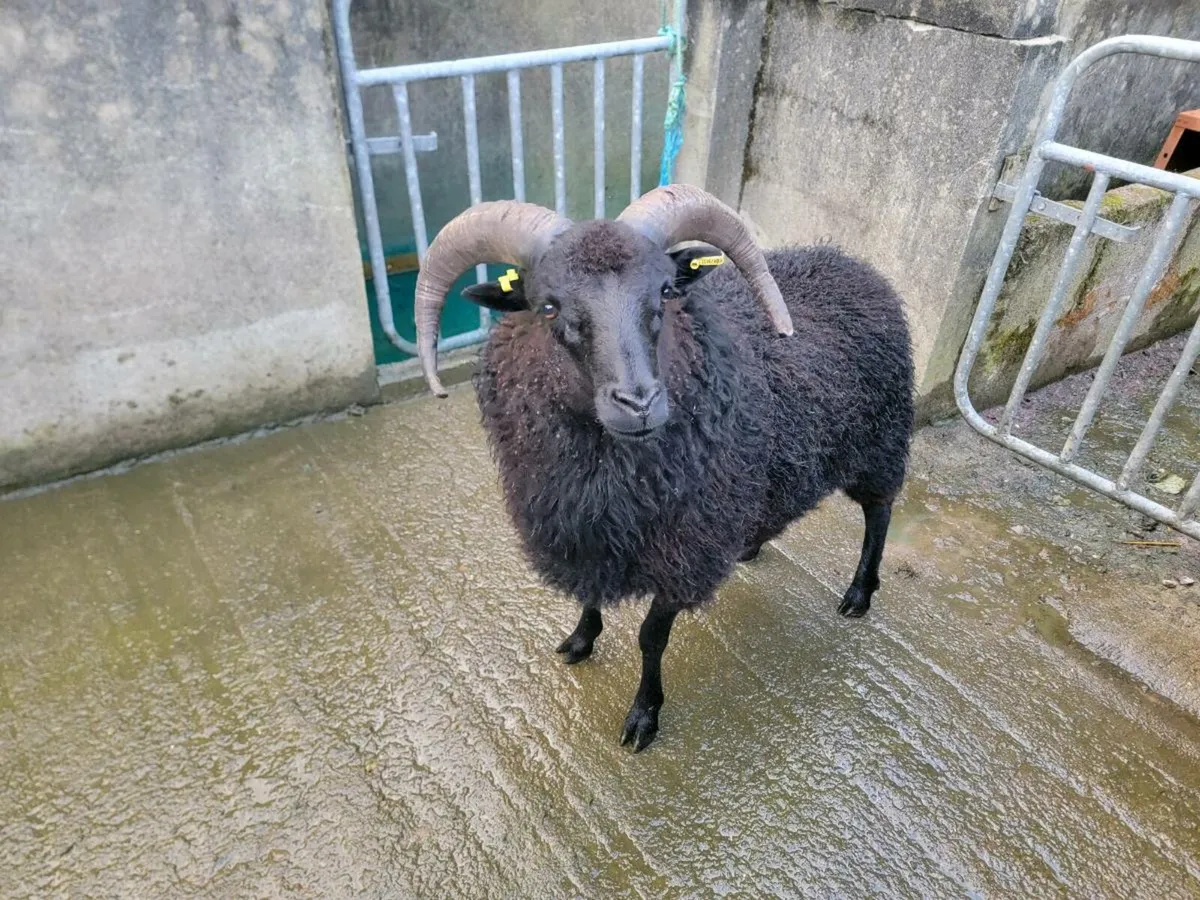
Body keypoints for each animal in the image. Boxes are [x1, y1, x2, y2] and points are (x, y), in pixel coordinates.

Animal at [412, 184, 914, 751]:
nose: (639, 403)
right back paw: (752, 546)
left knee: (880, 512)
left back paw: (858, 593)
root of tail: (855, 264)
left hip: (879, 439)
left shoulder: (684, 546)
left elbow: (651, 638)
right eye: (548, 307)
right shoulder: (586, 527)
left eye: (667, 292)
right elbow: (590, 594)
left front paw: (643, 715)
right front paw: (580, 640)